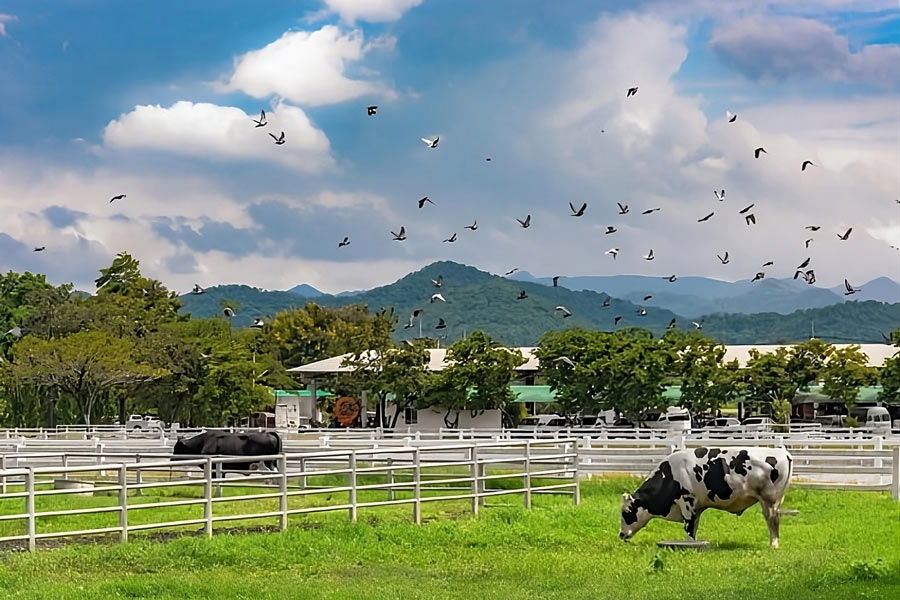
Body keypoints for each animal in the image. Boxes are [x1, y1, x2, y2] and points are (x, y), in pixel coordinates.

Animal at [620, 446, 796, 548]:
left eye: (626, 512)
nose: (621, 534)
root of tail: (783, 452)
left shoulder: (687, 501)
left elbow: (689, 527)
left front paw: (688, 544)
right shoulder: (696, 507)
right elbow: (694, 527)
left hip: (769, 500)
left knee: (773, 521)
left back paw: (773, 545)